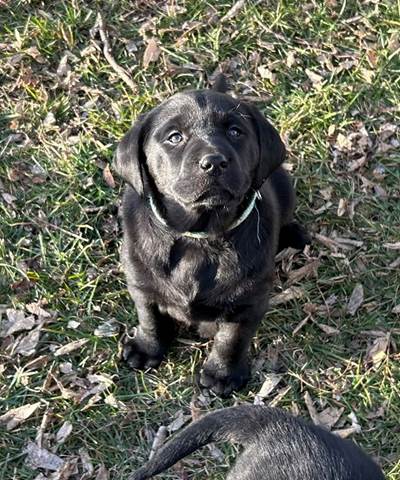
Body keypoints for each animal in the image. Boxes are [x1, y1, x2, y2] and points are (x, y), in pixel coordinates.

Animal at [114, 77, 310, 396]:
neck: (200, 236)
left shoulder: (248, 301)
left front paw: (222, 374)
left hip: (283, 183)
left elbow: (231, 339)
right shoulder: (141, 283)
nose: (214, 162)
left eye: (235, 131)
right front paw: (146, 348)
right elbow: (150, 318)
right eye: (175, 137)